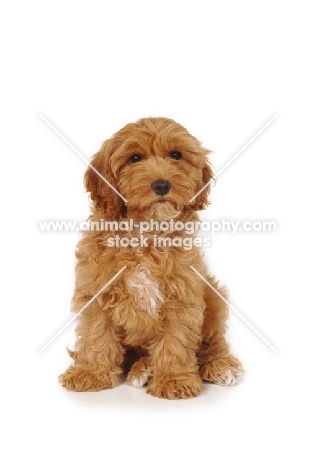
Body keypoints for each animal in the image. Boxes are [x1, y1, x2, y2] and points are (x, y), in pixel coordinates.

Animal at [59, 117, 245, 398]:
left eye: (176, 155)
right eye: (135, 158)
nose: (161, 185)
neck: (146, 233)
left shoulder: (182, 292)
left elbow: (177, 339)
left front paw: (174, 380)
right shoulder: (96, 289)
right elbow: (96, 333)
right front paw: (90, 373)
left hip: (213, 297)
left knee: (212, 344)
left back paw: (220, 365)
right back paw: (141, 369)